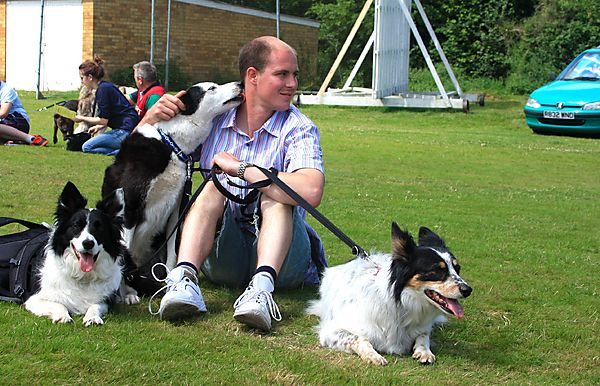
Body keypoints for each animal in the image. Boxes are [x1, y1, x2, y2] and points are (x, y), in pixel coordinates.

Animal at [24, 182, 138, 326]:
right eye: (76, 225)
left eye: (99, 228)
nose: (88, 243)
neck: (82, 277)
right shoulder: (34, 299)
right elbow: (58, 304)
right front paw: (63, 316)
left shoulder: (104, 300)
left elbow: (96, 305)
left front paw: (93, 317)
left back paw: (130, 296)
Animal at [101, 81, 244, 292]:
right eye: (211, 88)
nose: (240, 84)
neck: (171, 144)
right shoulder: (129, 206)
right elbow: (123, 256)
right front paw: (126, 293)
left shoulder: (177, 209)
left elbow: (172, 253)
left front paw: (171, 282)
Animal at [308, 223, 472, 364]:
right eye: (437, 270)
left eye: (457, 269)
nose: (468, 290)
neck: (400, 303)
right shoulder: (331, 331)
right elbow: (359, 338)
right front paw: (373, 355)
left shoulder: (423, 328)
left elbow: (423, 336)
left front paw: (424, 351)